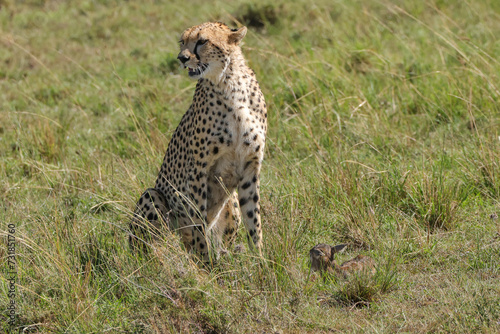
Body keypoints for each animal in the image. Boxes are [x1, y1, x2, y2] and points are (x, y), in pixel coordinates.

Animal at [131, 22, 268, 262]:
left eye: (202, 41)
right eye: (182, 42)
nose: (181, 58)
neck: (230, 84)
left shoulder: (250, 168)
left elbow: (254, 221)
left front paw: (261, 262)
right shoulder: (198, 169)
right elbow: (198, 223)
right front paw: (206, 265)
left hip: (231, 201)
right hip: (153, 196)